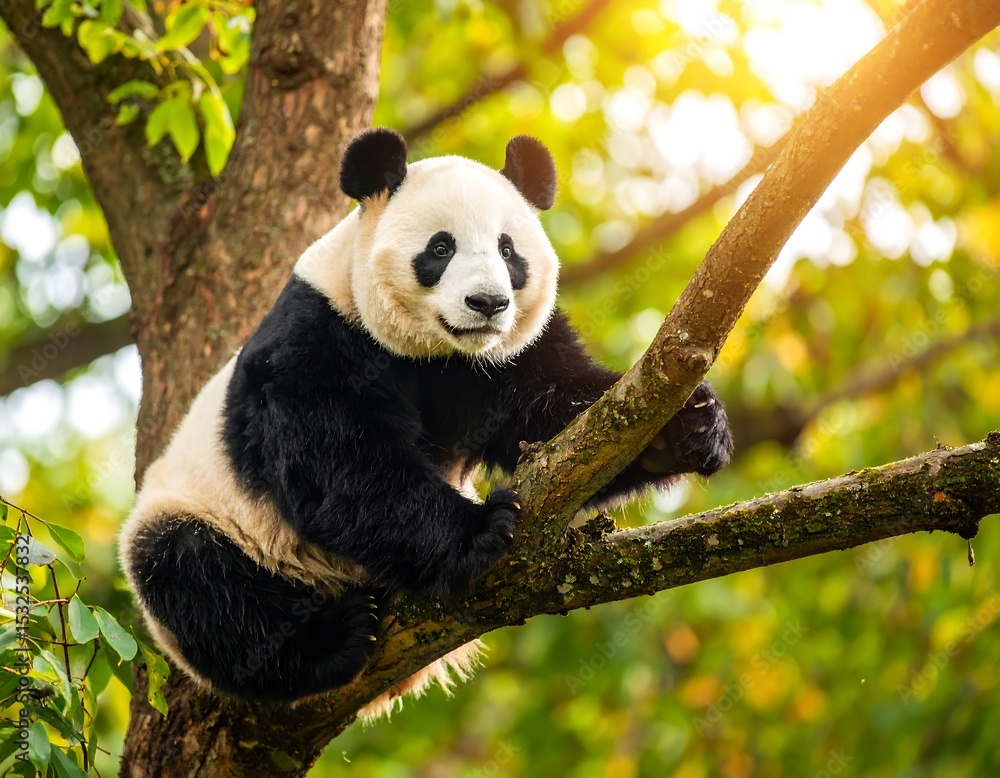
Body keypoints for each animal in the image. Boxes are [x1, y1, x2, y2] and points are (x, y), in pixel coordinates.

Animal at [119, 128, 733, 720]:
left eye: (509, 250)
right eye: (440, 248)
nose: (487, 303)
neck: (439, 352)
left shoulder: (505, 360)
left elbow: (562, 416)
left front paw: (690, 427)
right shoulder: (316, 337)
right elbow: (340, 467)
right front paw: (478, 530)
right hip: (216, 522)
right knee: (199, 582)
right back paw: (334, 638)